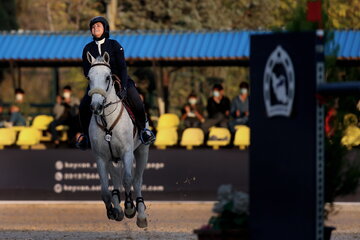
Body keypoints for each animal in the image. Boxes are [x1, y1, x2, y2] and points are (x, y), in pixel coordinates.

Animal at [86, 51, 148, 228]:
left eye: (108, 77)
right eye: (89, 77)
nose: (96, 106)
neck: (108, 119)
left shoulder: (127, 153)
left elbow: (128, 180)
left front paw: (129, 208)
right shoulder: (101, 157)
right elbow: (105, 191)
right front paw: (113, 211)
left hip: (142, 151)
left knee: (137, 181)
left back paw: (140, 215)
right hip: (112, 159)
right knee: (115, 181)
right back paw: (117, 208)